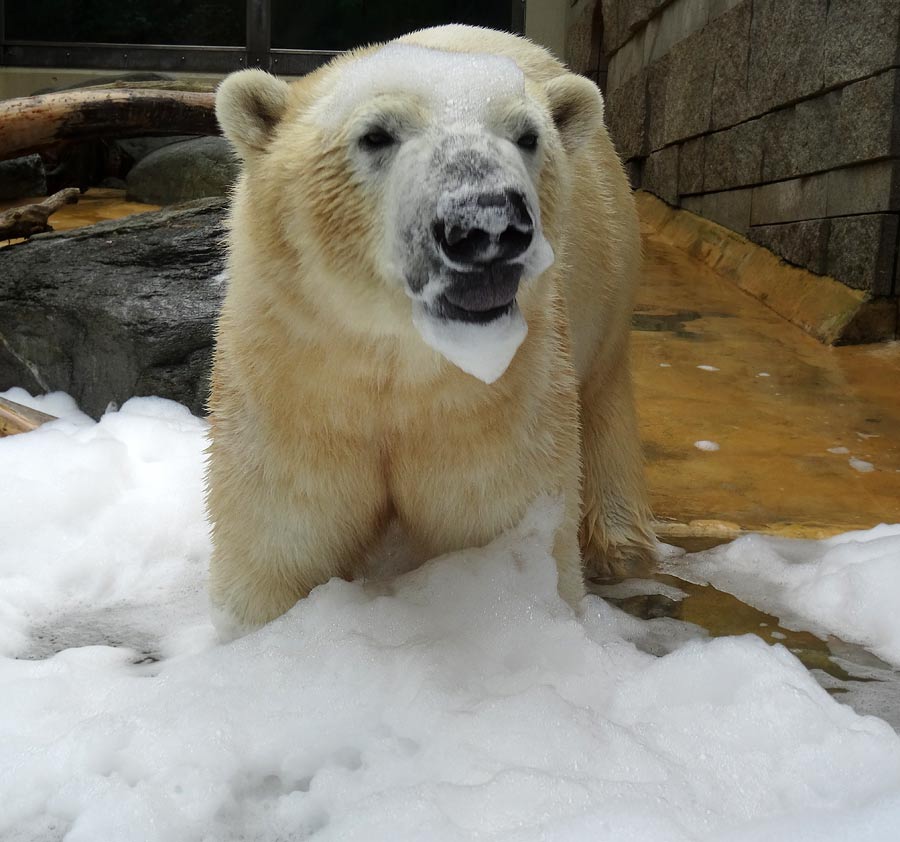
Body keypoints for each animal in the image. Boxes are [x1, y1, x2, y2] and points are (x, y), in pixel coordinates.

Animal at [208, 23, 656, 632]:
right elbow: (278, 535)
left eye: (528, 136)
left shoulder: (501, 396)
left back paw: (620, 550)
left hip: (609, 283)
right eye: (375, 135)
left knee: (606, 405)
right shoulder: (293, 371)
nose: (488, 223)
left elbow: (501, 520)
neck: (401, 353)